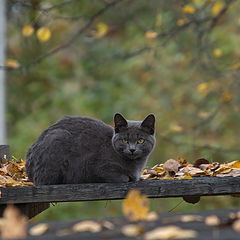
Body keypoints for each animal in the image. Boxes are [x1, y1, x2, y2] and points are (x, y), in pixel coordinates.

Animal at [24, 113, 156, 185]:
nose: (132, 149)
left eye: (140, 141)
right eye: (125, 140)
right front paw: (129, 178)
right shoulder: (98, 167)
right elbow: (122, 177)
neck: (135, 165)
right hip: (57, 137)